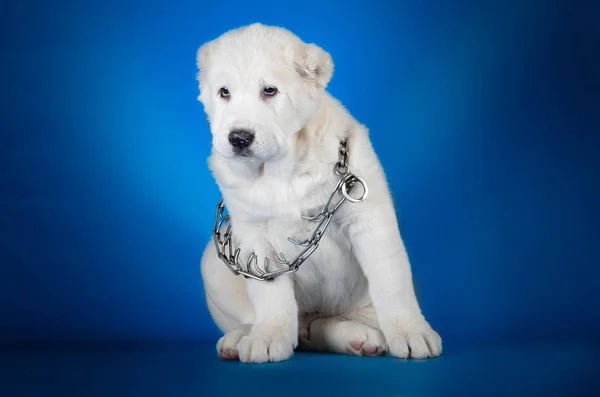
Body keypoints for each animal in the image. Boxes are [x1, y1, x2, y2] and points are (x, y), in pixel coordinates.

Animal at [196, 22, 440, 362]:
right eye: (224, 92)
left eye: (269, 90)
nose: (239, 138)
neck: (281, 172)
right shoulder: (253, 238)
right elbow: (270, 294)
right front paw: (269, 336)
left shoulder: (369, 220)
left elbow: (391, 283)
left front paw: (410, 332)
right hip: (213, 263)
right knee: (287, 323)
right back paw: (241, 337)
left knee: (330, 323)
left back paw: (361, 338)